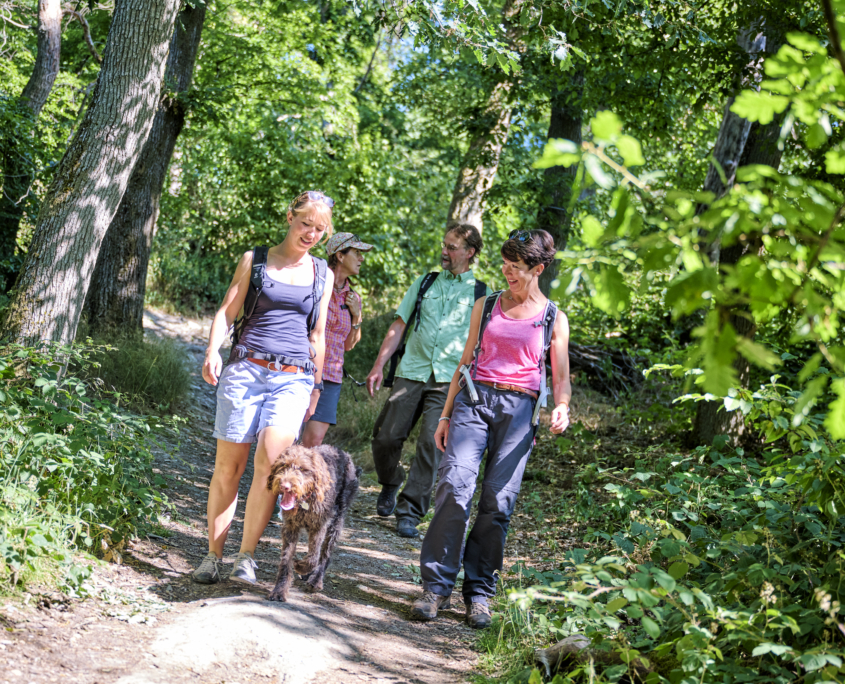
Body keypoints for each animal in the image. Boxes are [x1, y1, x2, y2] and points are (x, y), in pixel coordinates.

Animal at [264, 444, 356, 600]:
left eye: (302, 469)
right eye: (283, 465)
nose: (284, 486)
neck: (305, 501)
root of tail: (343, 453)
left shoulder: (319, 526)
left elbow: (313, 557)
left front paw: (301, 567)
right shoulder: (290, 527)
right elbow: (286, 559)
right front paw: (279, 590)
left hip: (336, 522)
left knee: (325, 555)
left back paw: (316, 580)